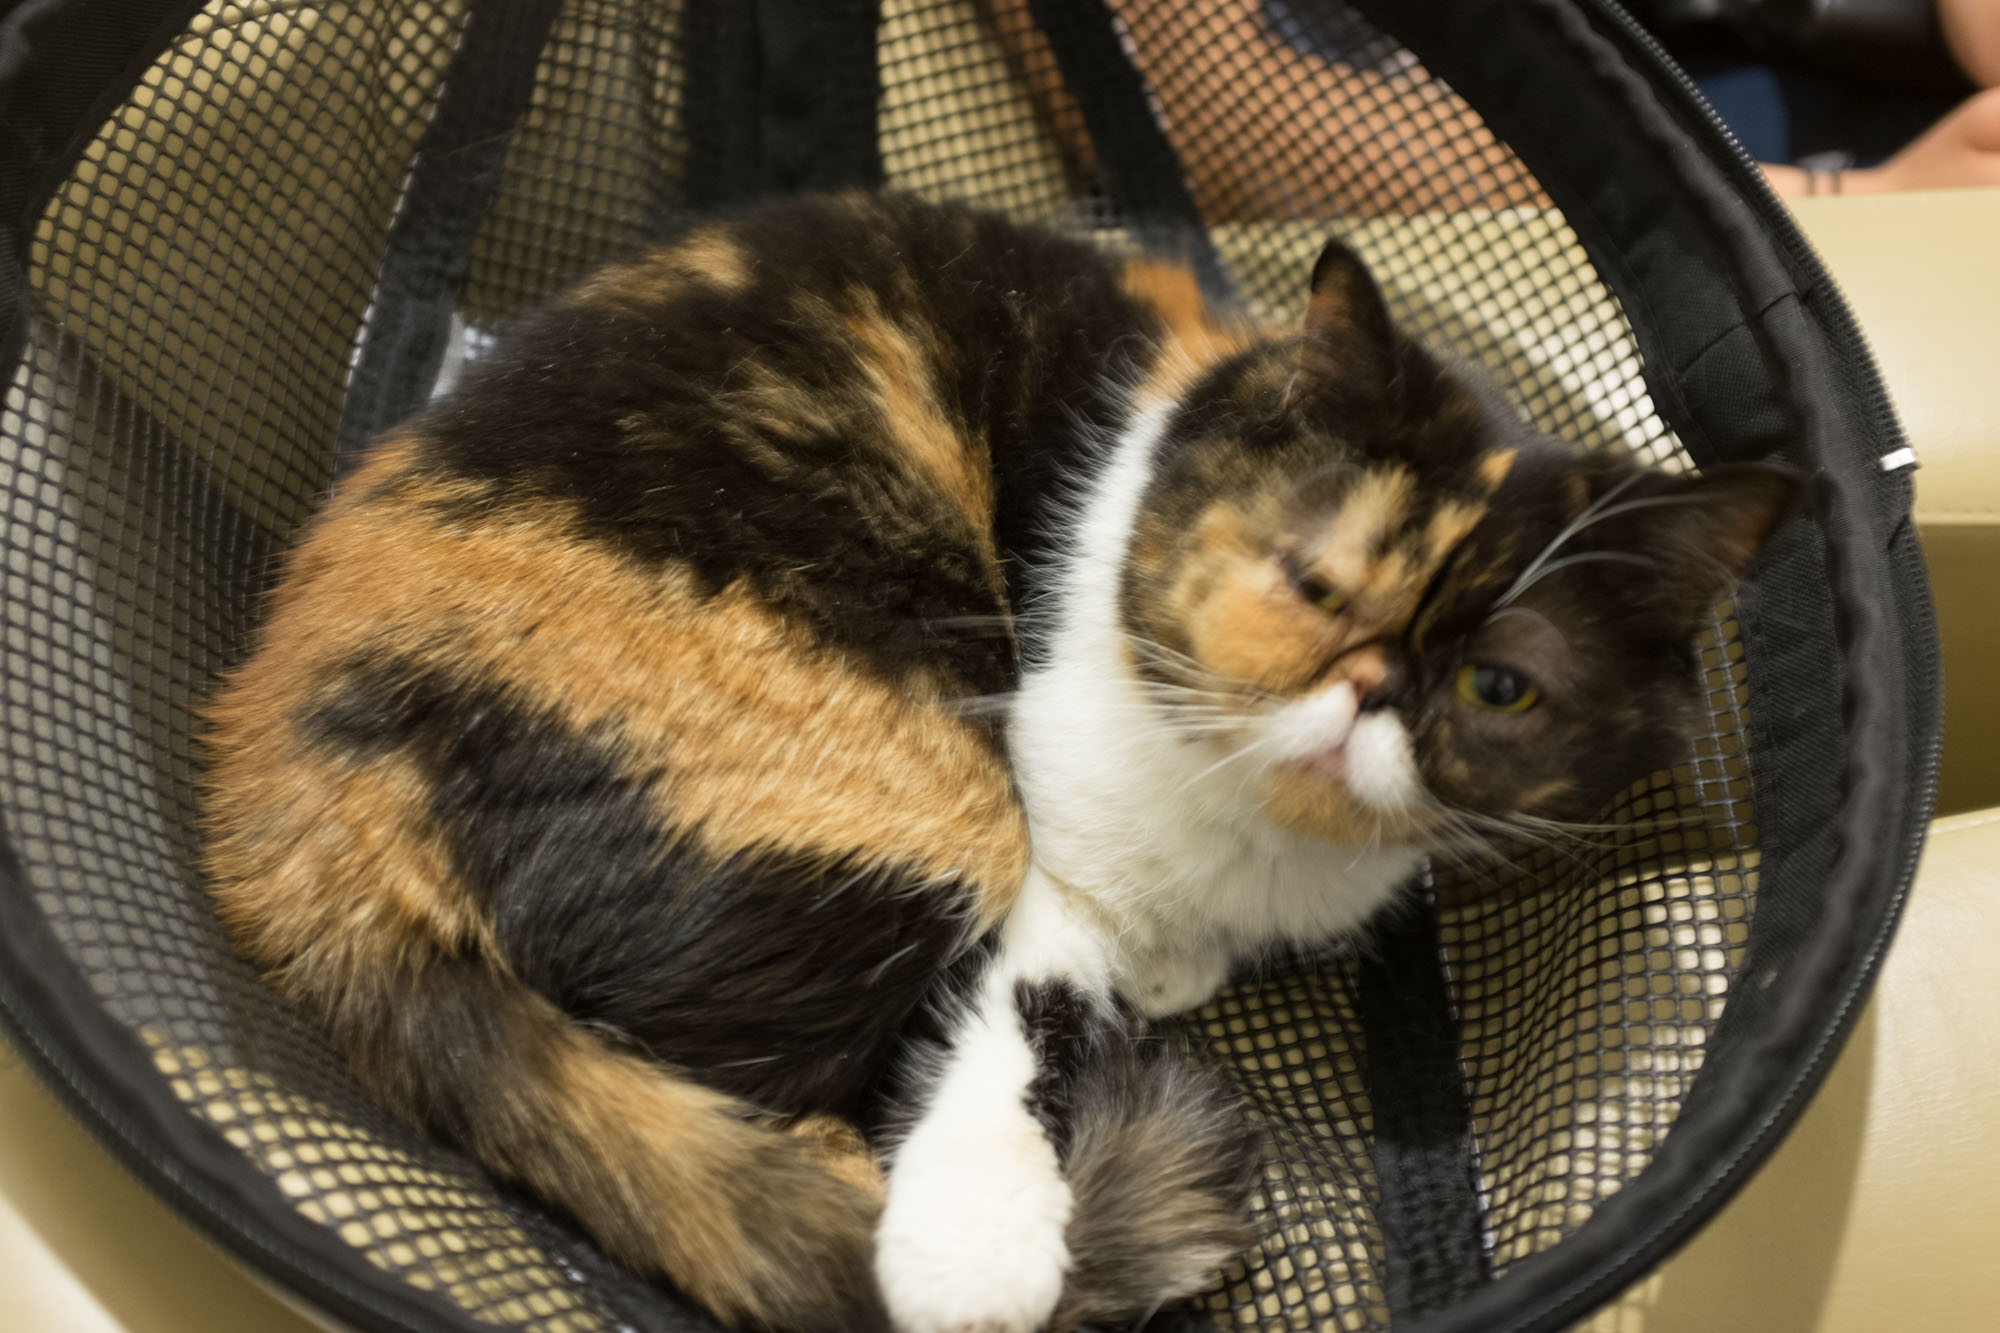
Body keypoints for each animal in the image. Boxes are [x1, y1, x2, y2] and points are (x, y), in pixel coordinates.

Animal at [199, 191, 1797, 1333]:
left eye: (1497, 686)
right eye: (1315, 584)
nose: (1365, 703)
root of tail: (283, 785)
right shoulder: (1044, 866)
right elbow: (1014, 1036)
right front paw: (974, 1258)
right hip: (928, 806)